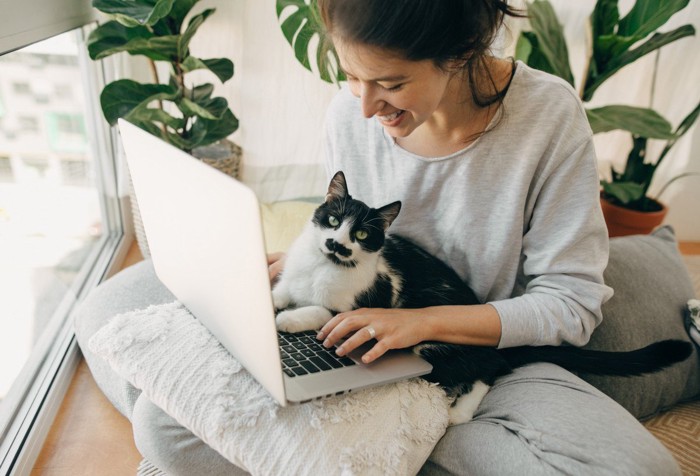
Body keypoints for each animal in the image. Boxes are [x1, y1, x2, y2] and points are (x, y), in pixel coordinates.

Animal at [270, 170, 692, 424]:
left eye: (360, 235)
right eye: (332, 220)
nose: (336, 244)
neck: (322, 266)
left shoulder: (366, 302)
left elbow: (323, 311)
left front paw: (287, 318)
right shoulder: (291, 277)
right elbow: (280, 289)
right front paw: (268, 306)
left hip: (432, 347)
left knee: (488, 370)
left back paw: (459, 412)